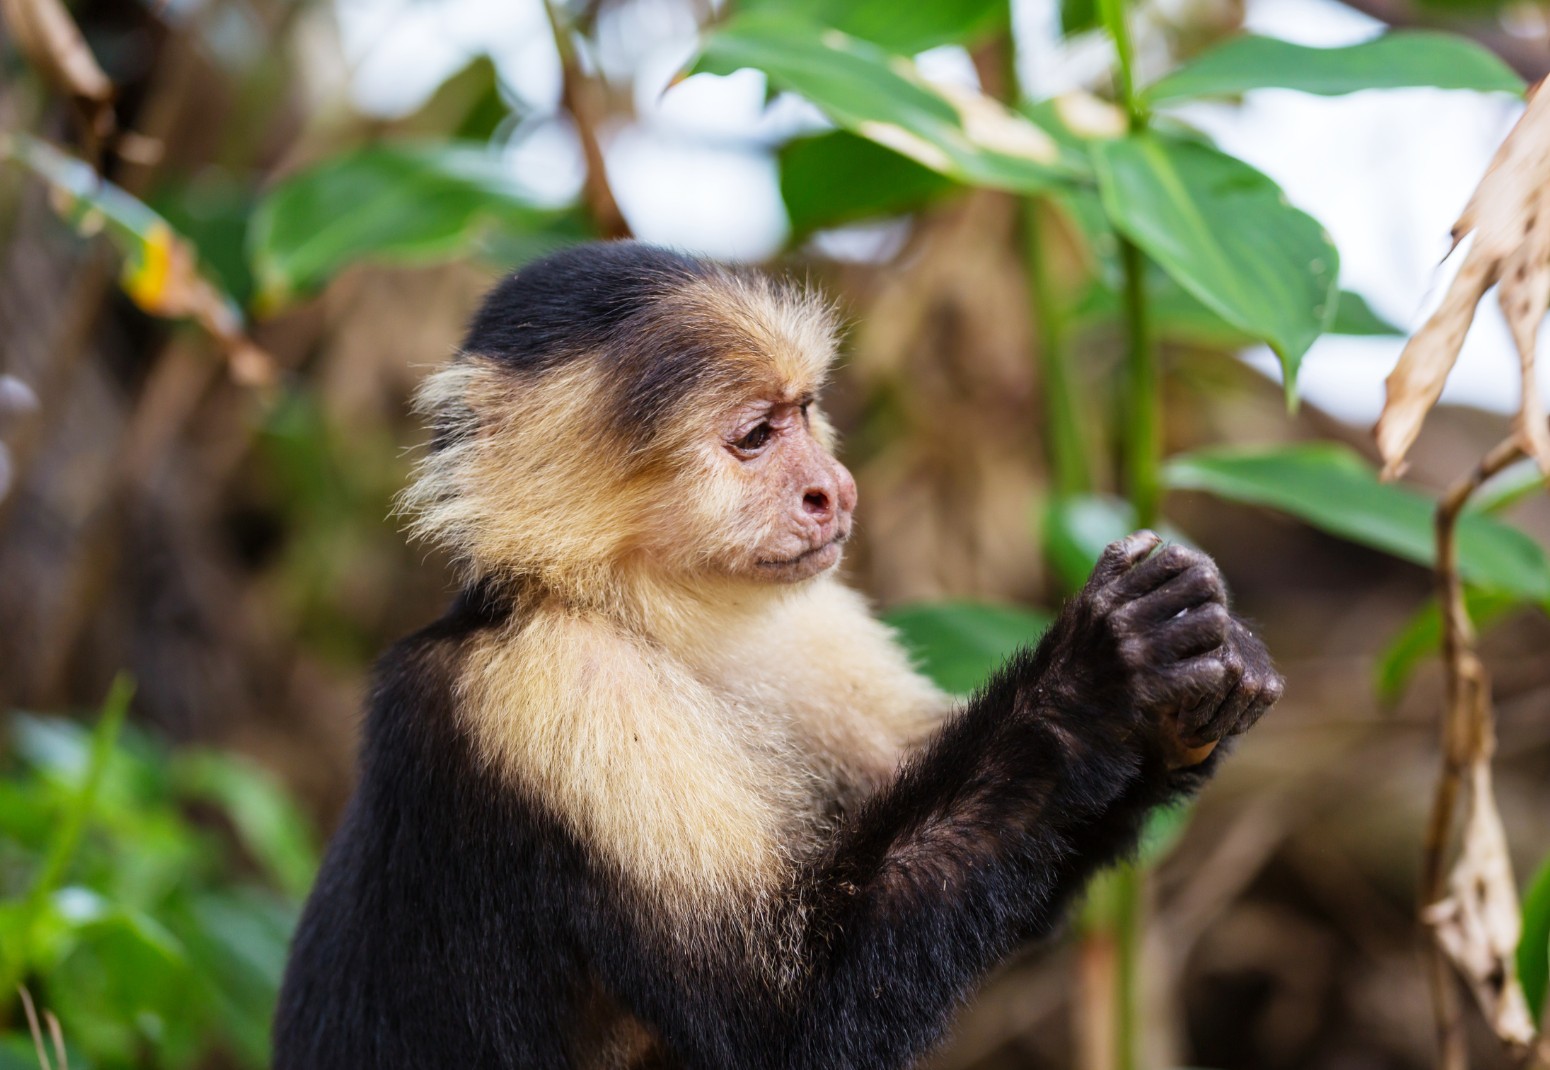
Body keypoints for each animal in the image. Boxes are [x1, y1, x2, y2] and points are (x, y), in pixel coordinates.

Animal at [272, 240, 1277, 1066]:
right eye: (755, 437)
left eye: (804, 411)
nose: (835, 489)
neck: (646, 615)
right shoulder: (560, 685)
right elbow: (781, 1019)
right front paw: (1101, 672)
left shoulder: (808, 623)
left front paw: (1195, 693)